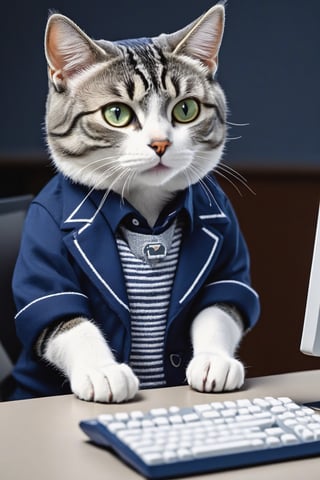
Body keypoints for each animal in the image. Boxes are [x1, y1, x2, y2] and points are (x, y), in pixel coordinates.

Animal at [11, 2, 260, 402]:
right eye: (117, 114)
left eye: (186, 110)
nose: (160, 143)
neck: (147, 212)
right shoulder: (43, 237)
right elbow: (68, 321)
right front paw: (103, 371)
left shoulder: (227, 240)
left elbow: (218, 307)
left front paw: (214, 361)